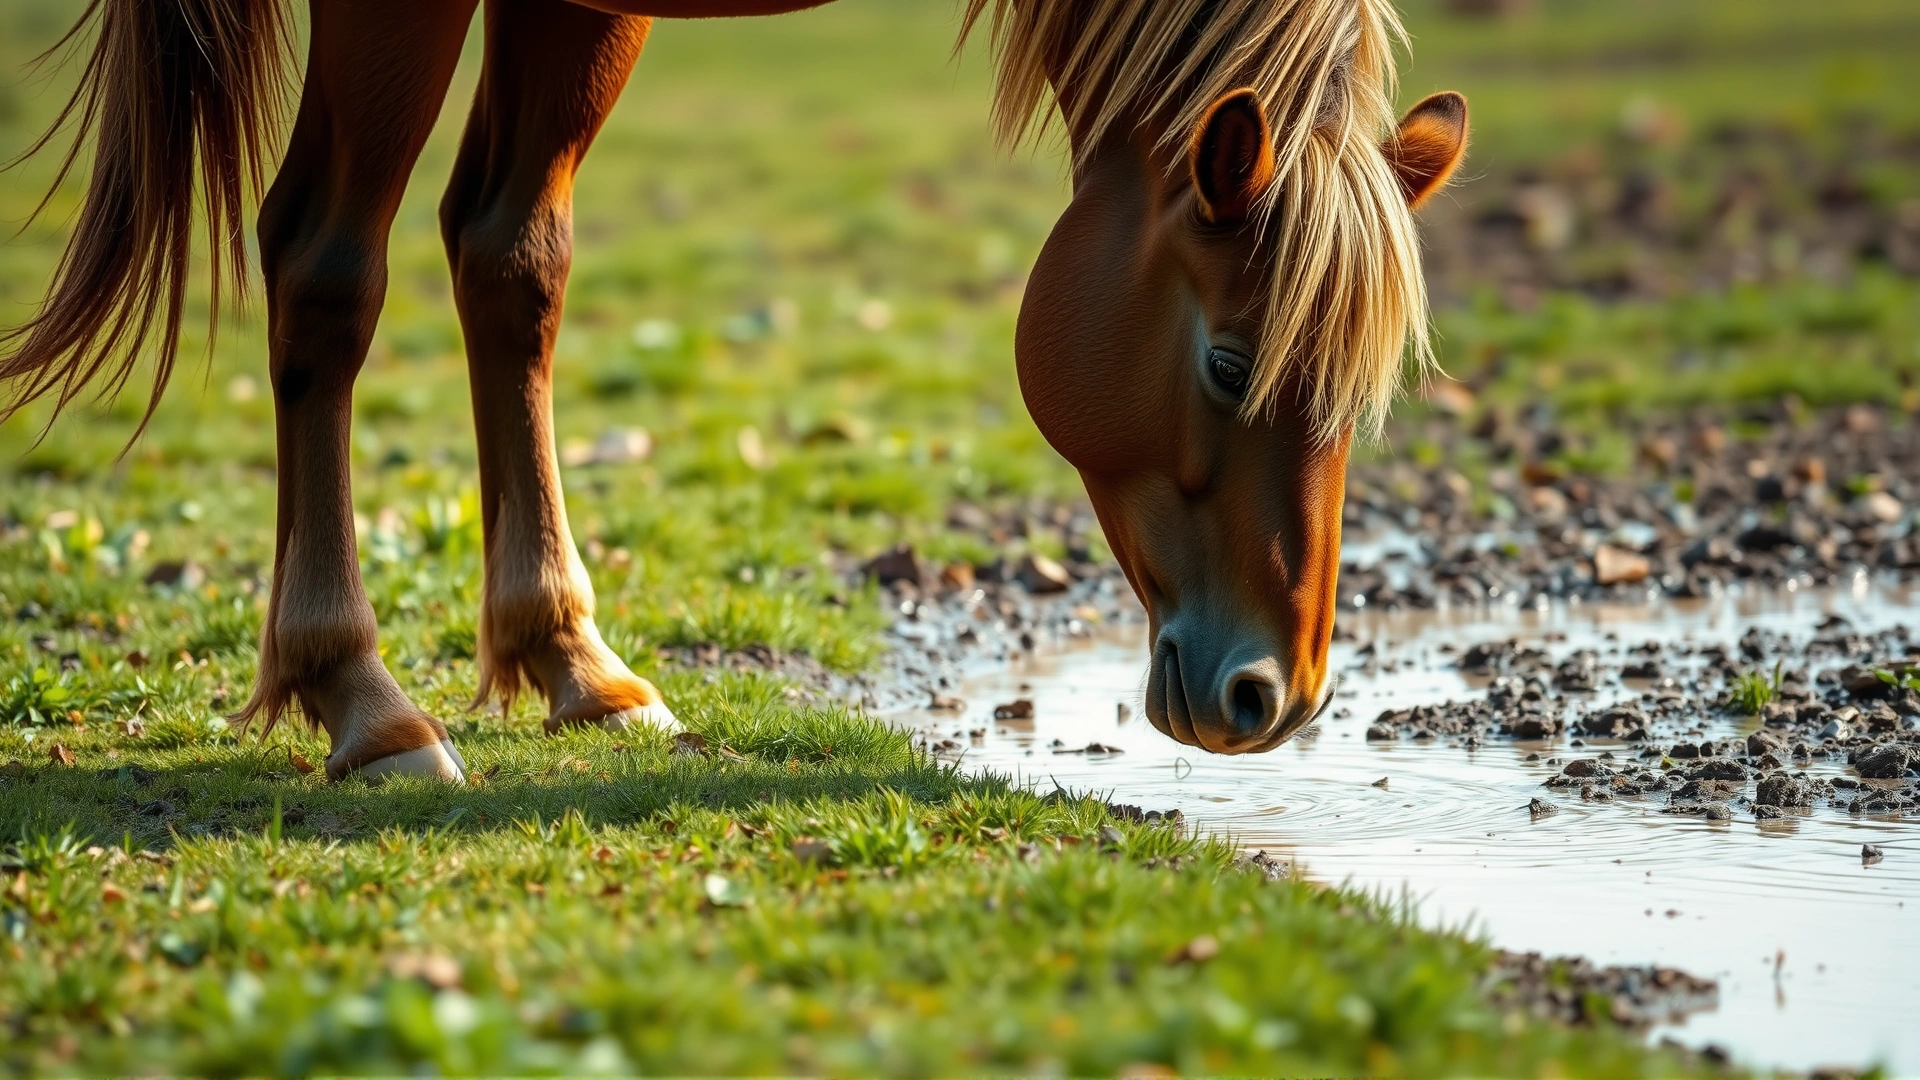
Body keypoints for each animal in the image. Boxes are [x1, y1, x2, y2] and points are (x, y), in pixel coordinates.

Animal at [1, 0, 1465, 780]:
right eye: (1228, 362)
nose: (1276, 699)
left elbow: (516, 259)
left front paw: (571, 658)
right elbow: (329, 274)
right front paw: (356, 695)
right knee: (321, 263)